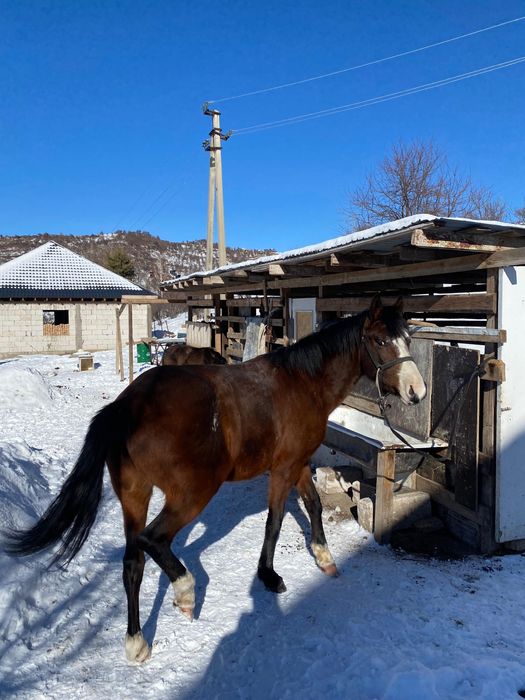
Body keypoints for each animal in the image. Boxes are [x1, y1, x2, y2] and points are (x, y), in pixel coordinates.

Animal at [3, 295, 426, 663]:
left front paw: (324, 557)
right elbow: (274, 522)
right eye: (380, 340)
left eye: (407, 339)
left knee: (133, 561)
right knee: (153, 540)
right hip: (192, 494)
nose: (416, 392)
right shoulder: (283, 469)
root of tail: (127, 405)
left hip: (135, 495)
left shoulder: (298, 463)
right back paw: (185, 592)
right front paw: (268, 575)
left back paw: (136, 643)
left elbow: (315, 505)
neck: (302, 383)